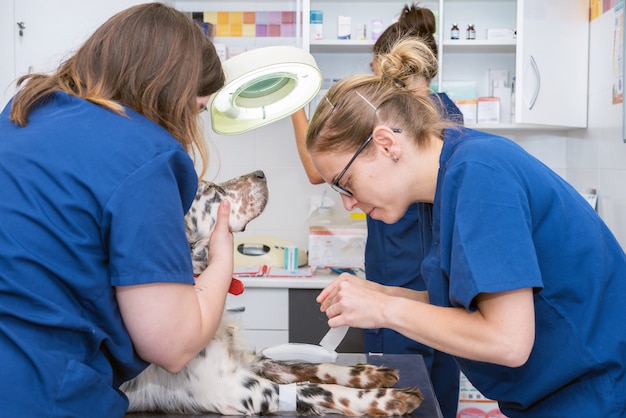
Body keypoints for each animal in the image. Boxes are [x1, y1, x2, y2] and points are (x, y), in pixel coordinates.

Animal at [120, 170, 424, 414]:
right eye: (210, 191)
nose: (261, 173)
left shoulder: (251, 361)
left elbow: (309, 367)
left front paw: (368, 372)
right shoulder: (238, 388)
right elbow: (315, 387)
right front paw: (388, 399)